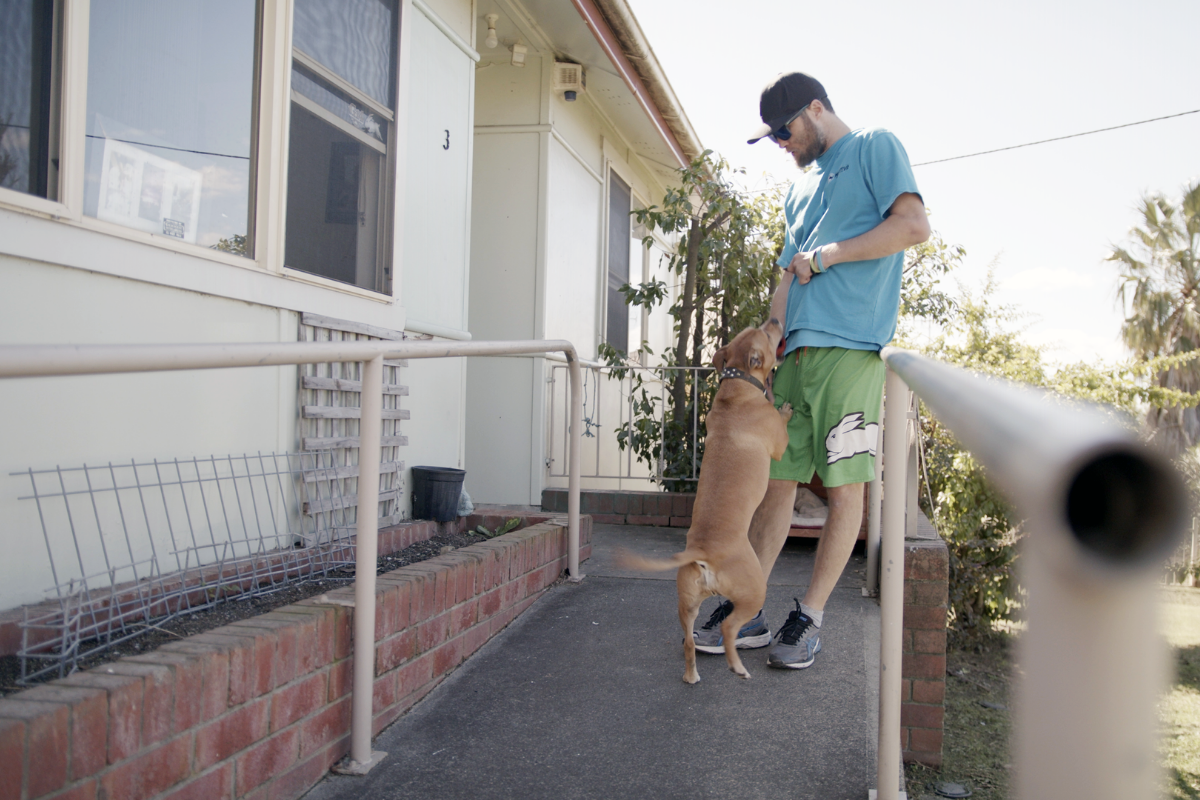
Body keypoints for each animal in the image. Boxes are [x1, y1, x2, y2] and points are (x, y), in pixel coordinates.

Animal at [619, 319, 796, 681]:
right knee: (729, 628)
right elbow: (783, 423)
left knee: (689, 641)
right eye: (765, 333)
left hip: (686, 603)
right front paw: (785, 408)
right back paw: (737, 667)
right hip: (753, 588)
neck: (738, 384)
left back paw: (692, 676)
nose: (774, 320)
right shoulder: (779, 443)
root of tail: (703, 554)